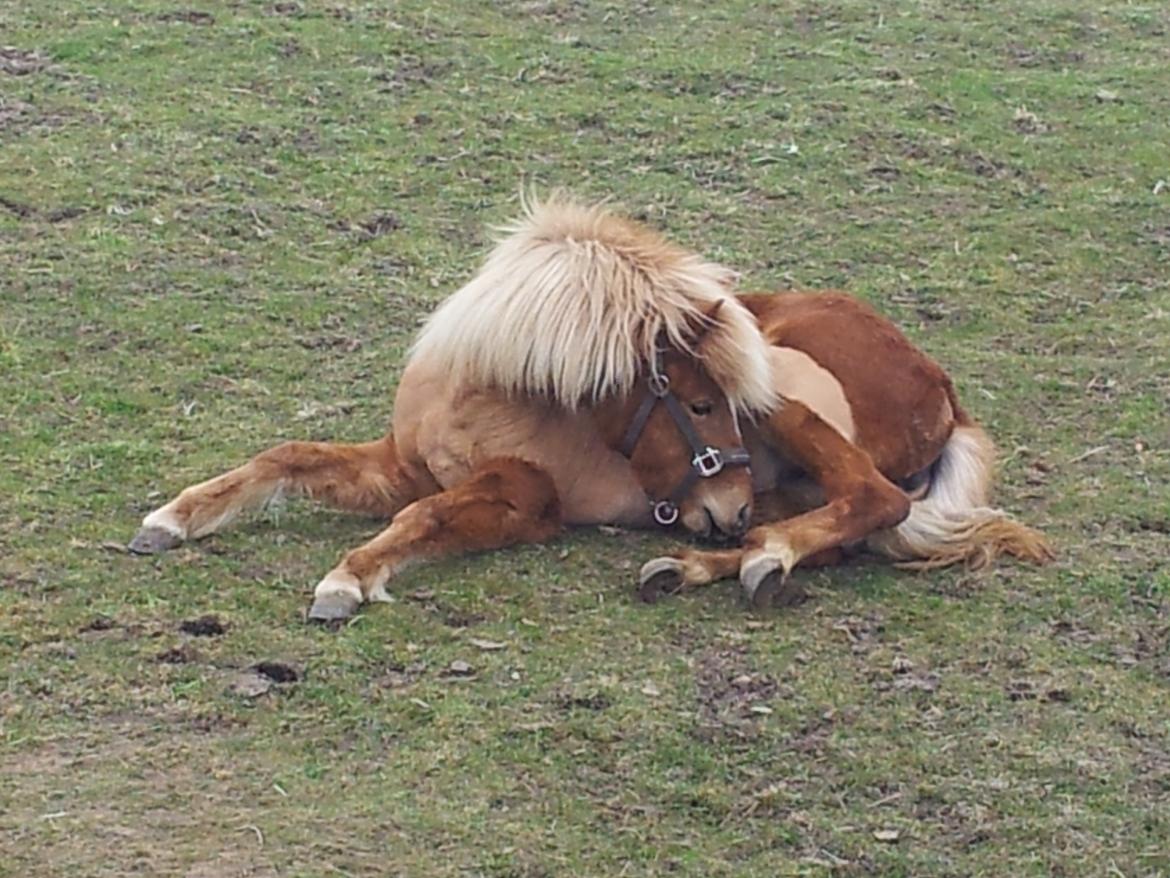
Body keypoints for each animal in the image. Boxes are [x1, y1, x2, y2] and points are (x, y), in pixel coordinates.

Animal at [128, 194, 1053, 618]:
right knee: (834, 535)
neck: (484, 392)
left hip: (794, 404)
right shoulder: (397, 466)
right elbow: (287, 458)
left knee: (873, 499)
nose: (726, 504)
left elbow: (424, 518)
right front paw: (171, 519)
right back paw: (694, 564)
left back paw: (751, 556)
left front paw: (347, 581)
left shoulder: (524, 499)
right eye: (698, 405)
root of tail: (942, 387)